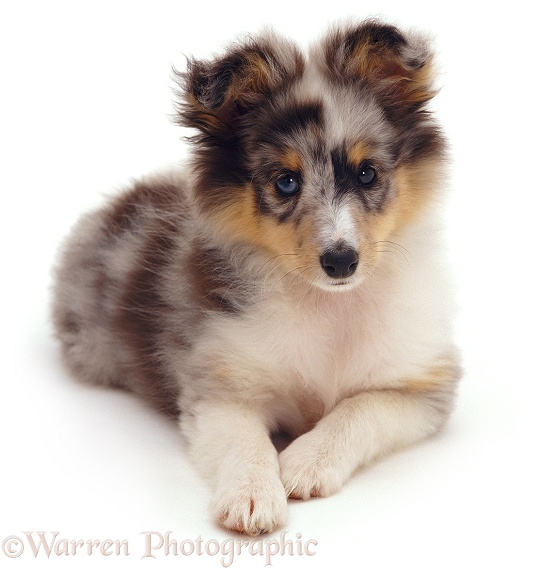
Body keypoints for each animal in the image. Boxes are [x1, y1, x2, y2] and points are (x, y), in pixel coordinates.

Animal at [52, 20, 462, 536]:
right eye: (286, 182)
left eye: (367, 174)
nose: (341, 262)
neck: (327, 305)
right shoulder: (220, 388)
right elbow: (244, 441)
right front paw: (251, 495)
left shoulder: (422, 387)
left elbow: (359, 409)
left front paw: (306, 462)